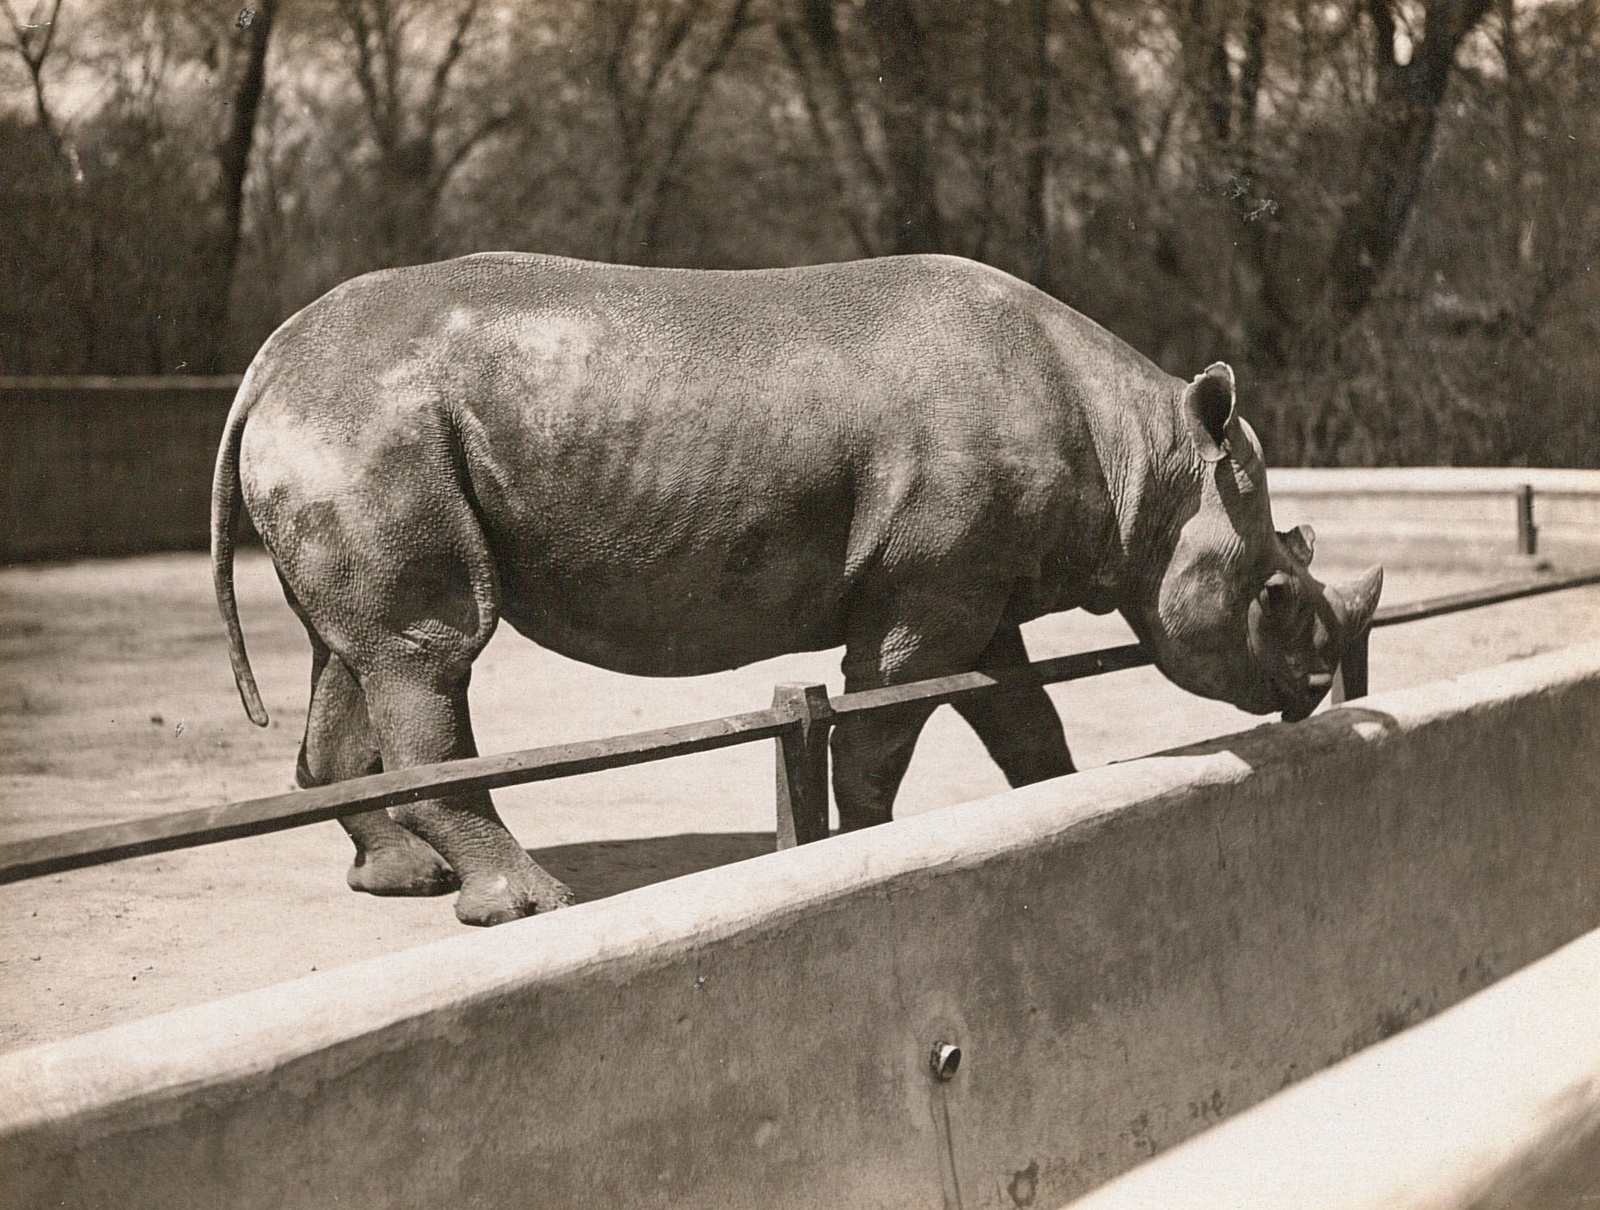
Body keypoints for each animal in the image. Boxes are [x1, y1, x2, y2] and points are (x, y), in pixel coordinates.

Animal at [212, 252, 1381, 926]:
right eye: (1277, 590)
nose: (1318, 680)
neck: (1151, 462)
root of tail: (264, 364)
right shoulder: (926, 594)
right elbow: (883, 726)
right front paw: (862, 849)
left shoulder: (975, 591)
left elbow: (1021, 715)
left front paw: (1056, 802)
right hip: (373, 425)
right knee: (428, 647)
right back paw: (526, 906)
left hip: (350, 427)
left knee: (351, 650)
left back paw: (403, 880)